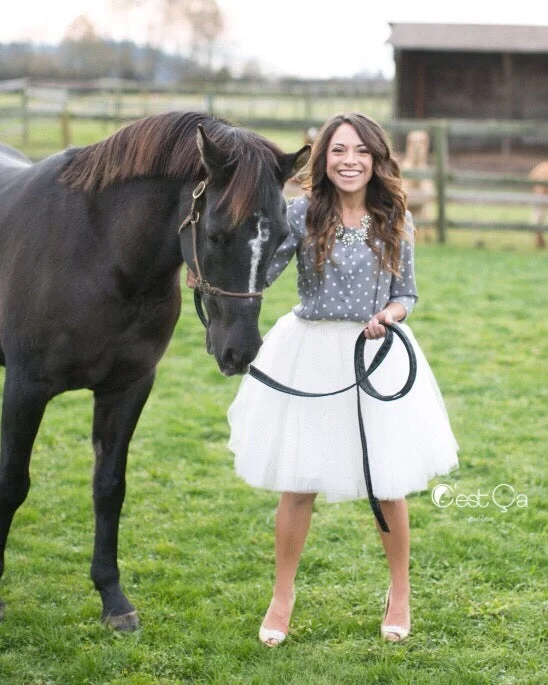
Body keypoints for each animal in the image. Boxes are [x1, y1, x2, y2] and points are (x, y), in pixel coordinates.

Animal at [0, 112, 308, 632]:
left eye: (282, 236)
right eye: (216, 233)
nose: (240, 351)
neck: (99, 255)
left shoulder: (129, 386)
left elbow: (109, 486)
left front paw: (113, 599)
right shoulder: (26, 389)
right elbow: (12, 482)